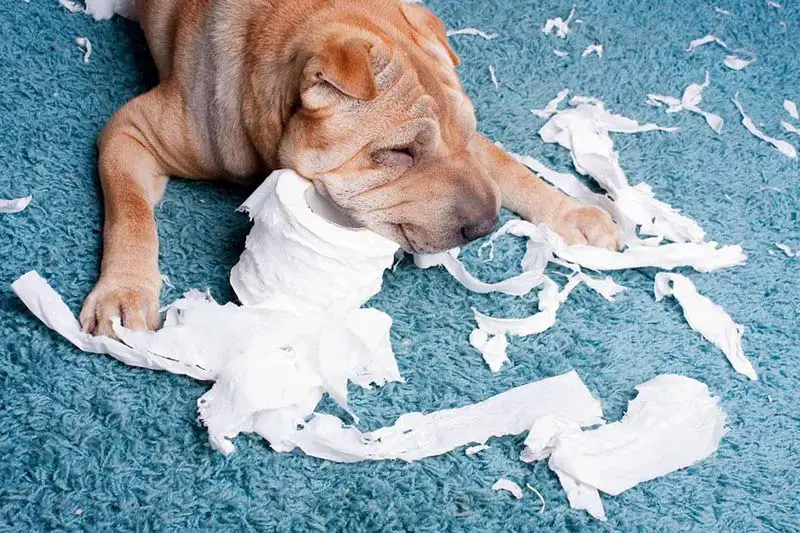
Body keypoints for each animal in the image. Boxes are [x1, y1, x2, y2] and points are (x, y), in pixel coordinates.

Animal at [79, 0, 620, 336]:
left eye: (468, 130)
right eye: (400, 153)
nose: (487, 225)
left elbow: (505, 166)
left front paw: (574, 214)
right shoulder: (128, 131)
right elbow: (130, 210)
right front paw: (125, 290)